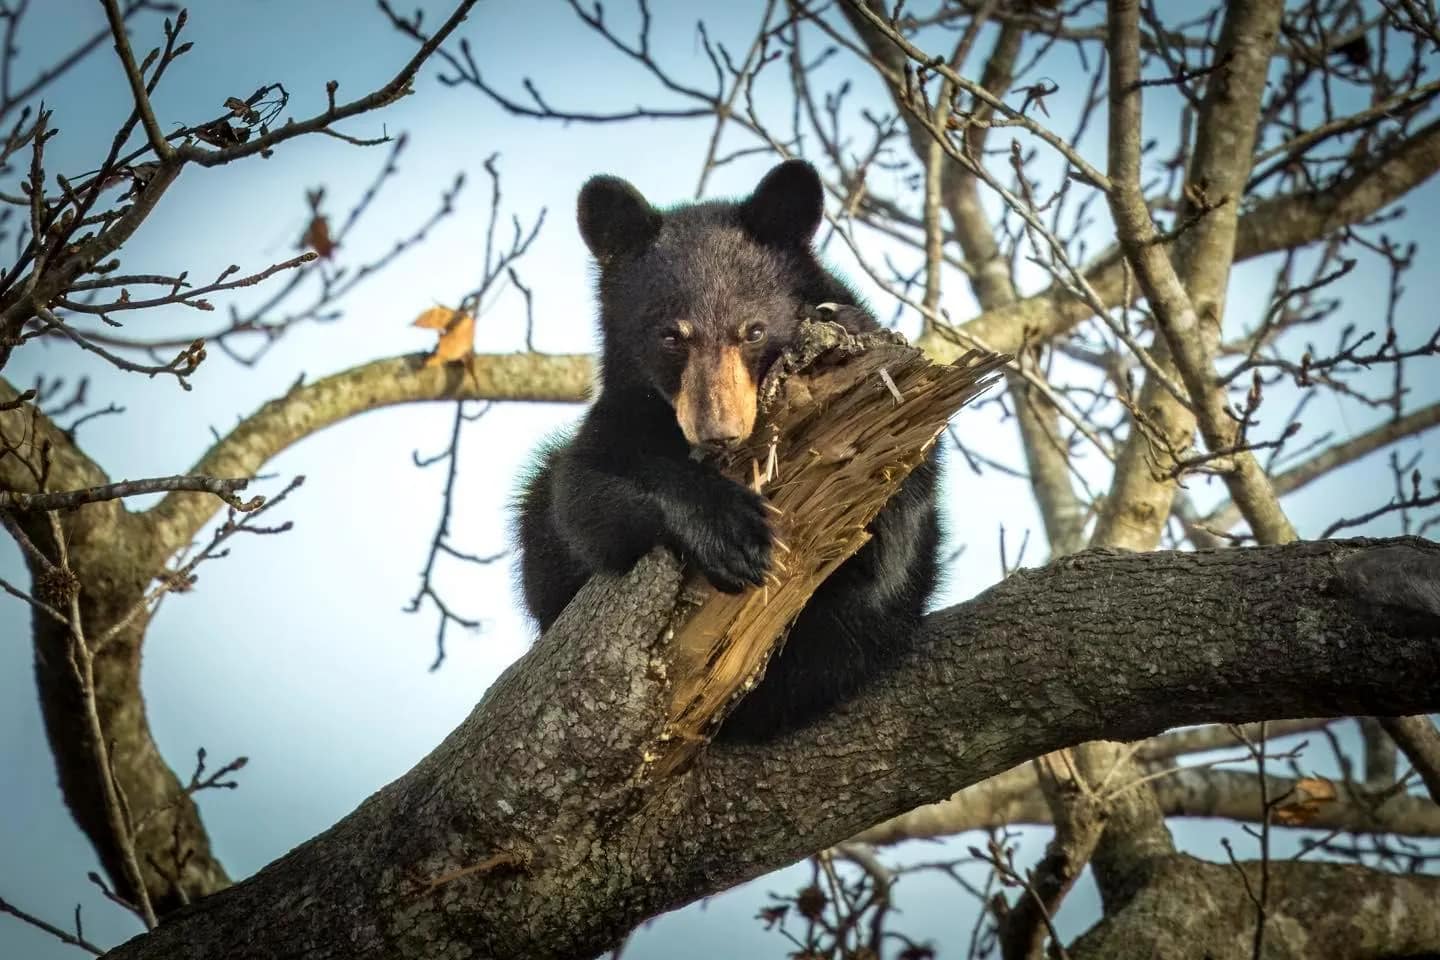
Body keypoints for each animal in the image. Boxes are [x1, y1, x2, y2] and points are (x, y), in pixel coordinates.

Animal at [514, 159, 941, 741]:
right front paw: (731, 531)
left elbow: (887, 524)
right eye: (671, 336)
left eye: (753, 331)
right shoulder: (622, 414)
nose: (719, 430)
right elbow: (581, 499)